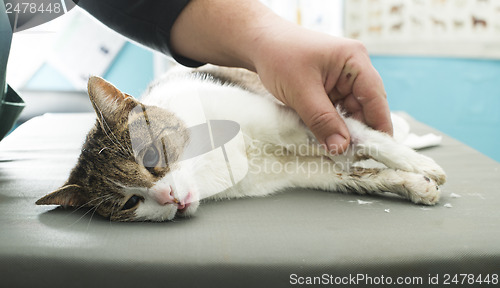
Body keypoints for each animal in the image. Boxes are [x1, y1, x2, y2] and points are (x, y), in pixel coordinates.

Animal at [37, 65, 448, 222]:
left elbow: (365, 137)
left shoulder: (296, 117)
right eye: (130, 203)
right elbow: (357, 178)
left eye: (151, 156)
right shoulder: (300, 171)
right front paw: (415, 184)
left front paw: (421, 167)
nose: (168, 197)